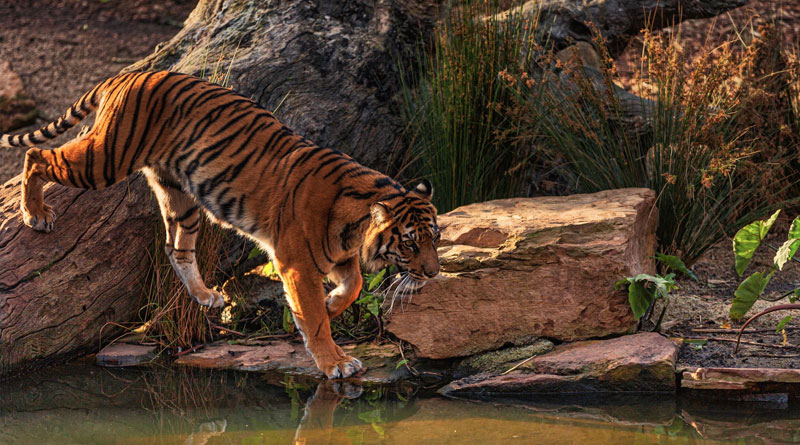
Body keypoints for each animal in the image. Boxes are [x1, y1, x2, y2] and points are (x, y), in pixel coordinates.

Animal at [0, 71, 440, 379]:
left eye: (435, 238)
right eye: (410, 243)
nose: (435, 273)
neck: (355, 225)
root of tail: (128, 73)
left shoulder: (336, 256)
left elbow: (355, 285)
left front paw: (334, 304)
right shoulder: (297, 262)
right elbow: (315, 319)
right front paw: (335, 361)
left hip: (180, 195)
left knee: (175, 248)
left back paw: (206, 296)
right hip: (104, 158)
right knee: (38, 156)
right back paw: (35, 213)